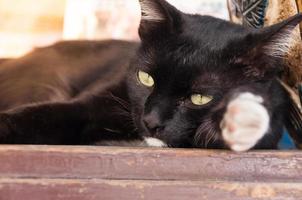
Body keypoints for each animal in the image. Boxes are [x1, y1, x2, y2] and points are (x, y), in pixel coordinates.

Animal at [0, 0, 300, 151]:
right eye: (146, 78)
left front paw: (242, 118)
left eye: (200, 97)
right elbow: (46, 114)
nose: (151, 121)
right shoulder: (102, 97)